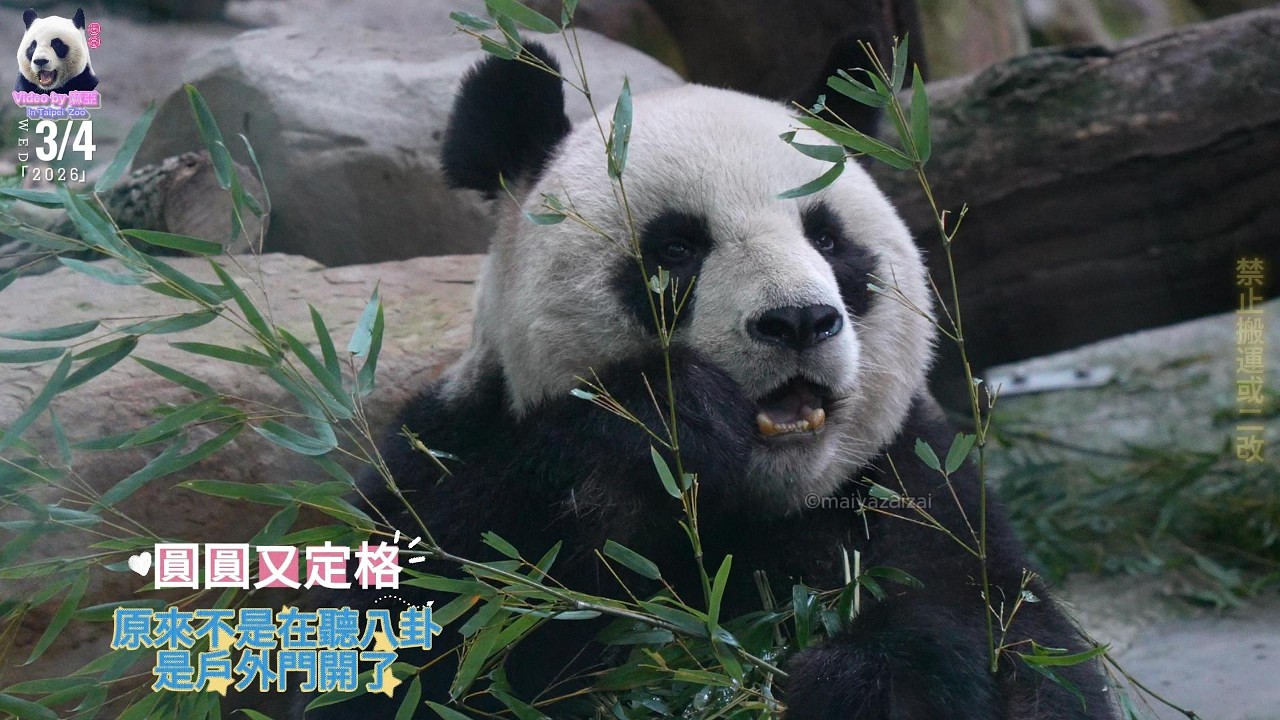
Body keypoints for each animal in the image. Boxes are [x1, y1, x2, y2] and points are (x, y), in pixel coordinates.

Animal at [303, 43, 1114, 719]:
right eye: (675, 248)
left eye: (828, 238)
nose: (798, 321)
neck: (754, 508)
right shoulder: (450, 453)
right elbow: (428, 629)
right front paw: (668, 417)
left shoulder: (917, 483)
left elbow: (1015, 641)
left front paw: (864, 681)